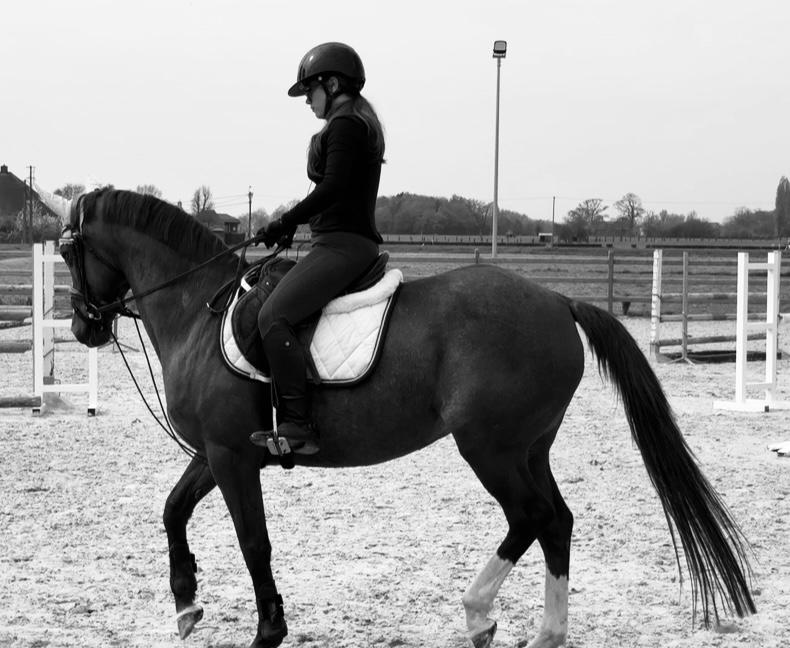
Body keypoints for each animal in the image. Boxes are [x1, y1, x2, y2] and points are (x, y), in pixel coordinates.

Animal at [43, 187, 754, 648]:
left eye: (67, 251)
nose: (83, 326)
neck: (197, 307)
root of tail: (557, 299)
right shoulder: (219, 453)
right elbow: (172, 510)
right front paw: (187, 603)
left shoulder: (231, 455)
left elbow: (253, 542)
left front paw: (268, 630)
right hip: (531, 447)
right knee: (557, 520)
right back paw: (547, 633)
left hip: (489, 447)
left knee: (531, 516)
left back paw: (478, 614)